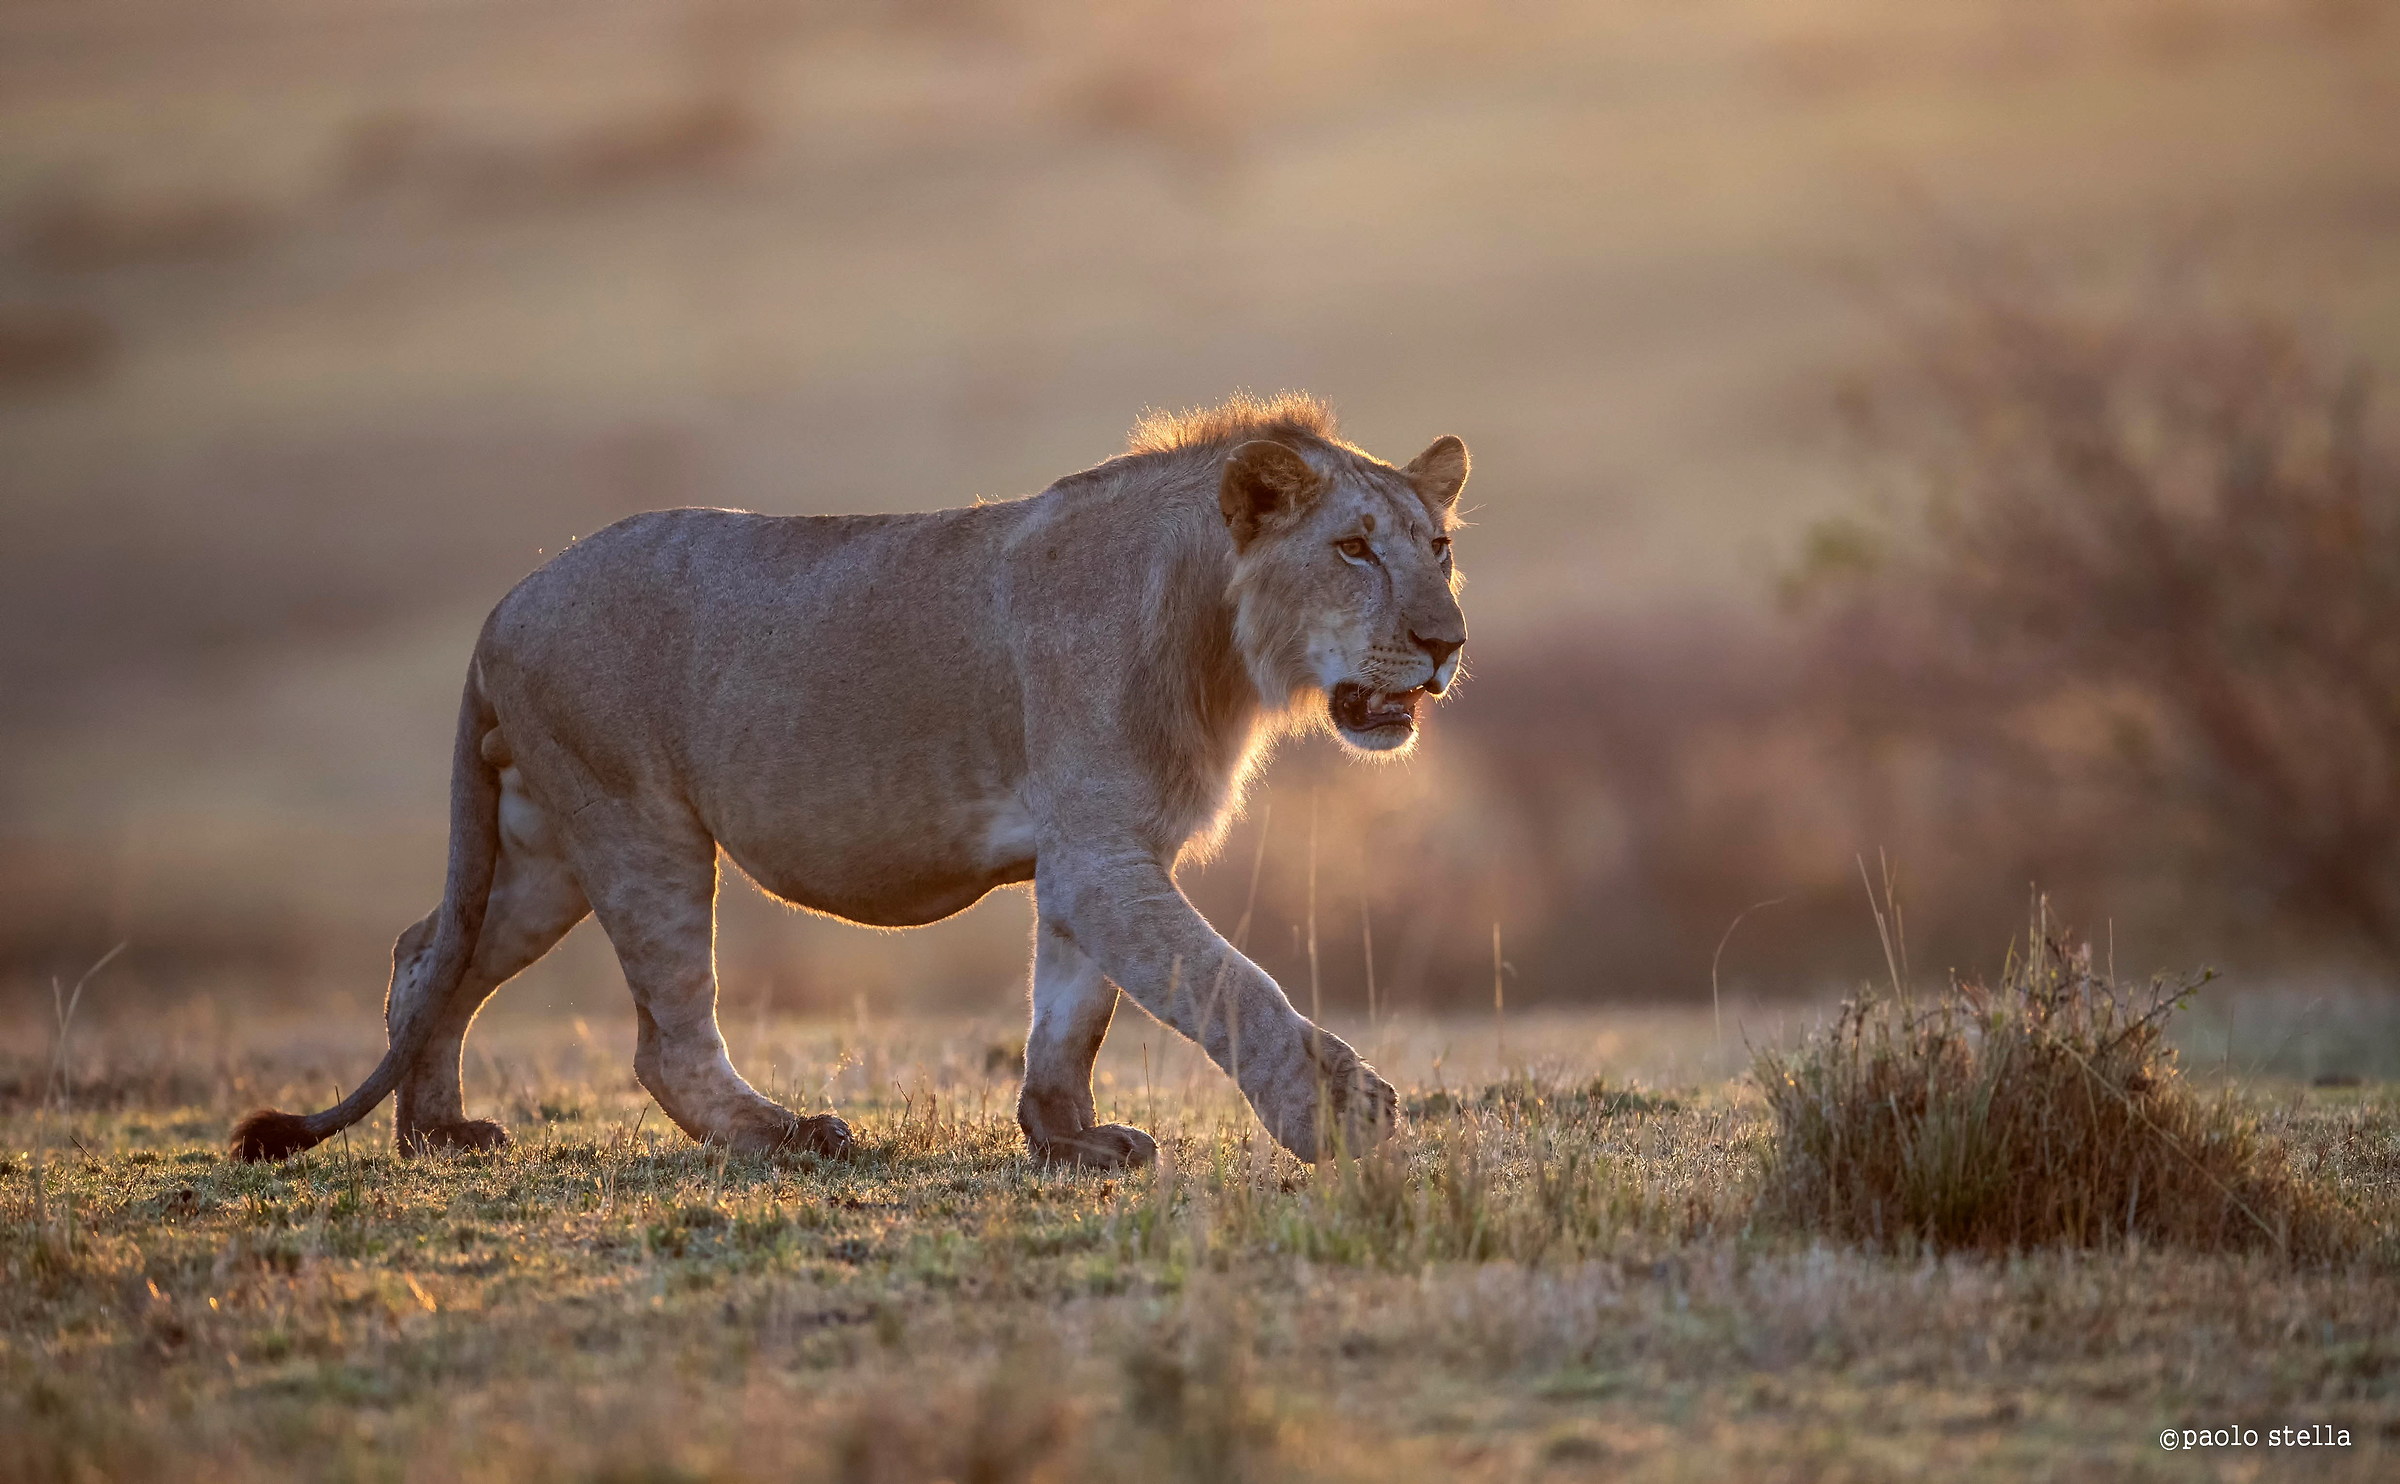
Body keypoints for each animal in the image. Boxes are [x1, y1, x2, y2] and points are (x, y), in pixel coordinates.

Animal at [232, 392, 1470, 1169]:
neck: (1221, 643)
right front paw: (1340, 1111)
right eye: (1352, 547)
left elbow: (1071, 1013)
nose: (1447, 643)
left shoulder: (1097, 853)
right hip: (639, 824)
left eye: (1439, 547)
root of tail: (504, 604)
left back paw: (436, 1129)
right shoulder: (1099, 855)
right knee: (663, 1038)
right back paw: (786, 1136)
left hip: (545, 846)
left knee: (427, 957)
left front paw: (1067, 1137)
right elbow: (1229, 982)